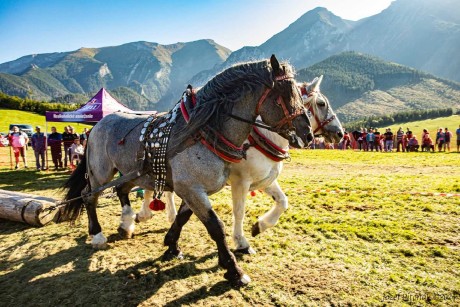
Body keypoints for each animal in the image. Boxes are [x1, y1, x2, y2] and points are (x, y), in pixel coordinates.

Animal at [62, 54, 312, 286]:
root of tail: (97, 126)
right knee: (89, 196)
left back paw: (126, 224)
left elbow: (183, 218)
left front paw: (171, 245)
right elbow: (216, 226)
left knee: (121, 190)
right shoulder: (192, 188)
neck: (203, 131)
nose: (307, 133)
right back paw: (97, 234)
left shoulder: (193, 189)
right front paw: (233, 270)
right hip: (101, 172)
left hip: (133, 173)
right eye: (285, 93)